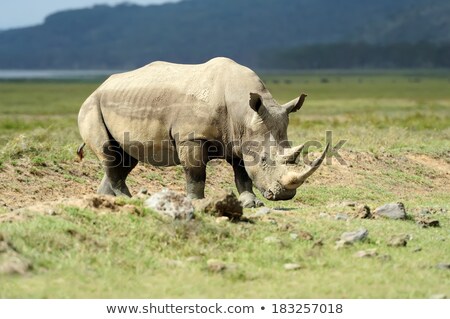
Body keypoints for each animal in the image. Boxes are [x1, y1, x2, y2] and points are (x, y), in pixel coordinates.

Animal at [78, 57, 326, 208]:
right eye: (265, 160)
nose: (285, 195)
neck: (244, 113)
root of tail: (99, 87)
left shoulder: (240, 139)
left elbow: (242, 174)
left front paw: (251, 203)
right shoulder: (192, 137)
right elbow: (196, 173)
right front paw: (197, 202)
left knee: (124, 159)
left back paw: (106, 200)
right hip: (91, 106)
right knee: (109, 153)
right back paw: (129, 200)